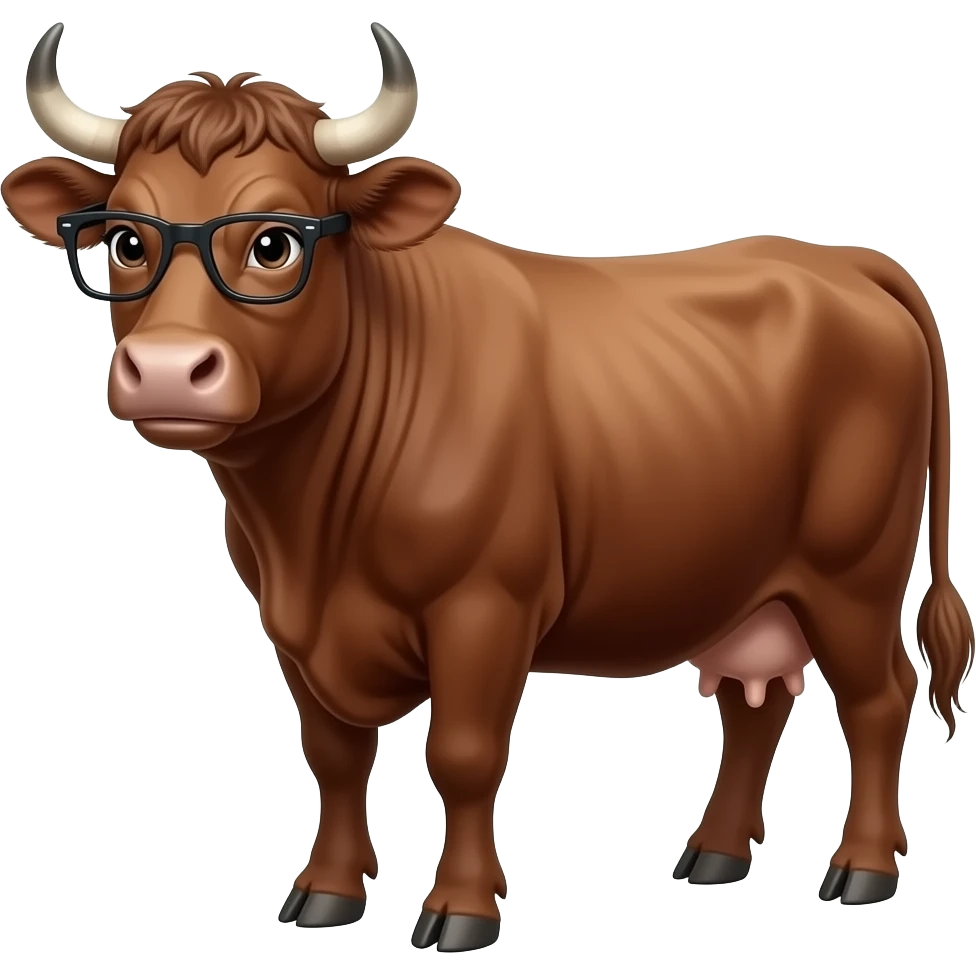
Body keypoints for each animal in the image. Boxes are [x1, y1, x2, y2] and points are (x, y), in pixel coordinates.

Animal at [3, 20, 973, 952]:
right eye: (125, 240)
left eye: (275, 242)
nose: (169, 371)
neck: (308, 529)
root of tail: (844, 261)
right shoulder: (288, 621)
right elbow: (334, 754)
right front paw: (324, 893)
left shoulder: (485, 606)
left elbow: (462, 756)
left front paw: (461, 910)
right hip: (745, 585)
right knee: (753, 707)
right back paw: (714, 856)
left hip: (854, 575)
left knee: (879, 699)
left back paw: (862, 868)